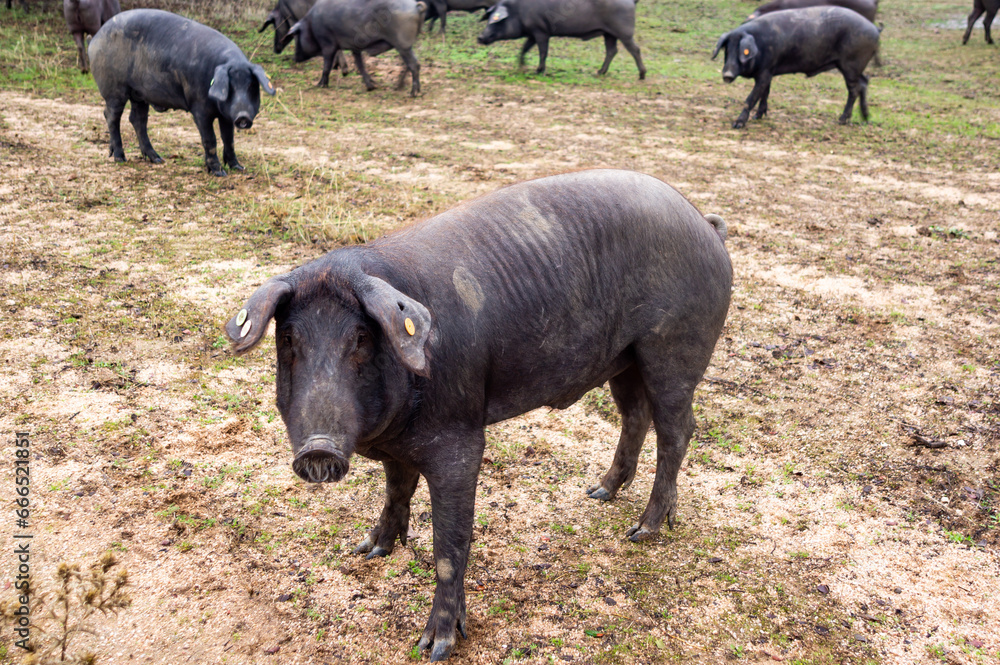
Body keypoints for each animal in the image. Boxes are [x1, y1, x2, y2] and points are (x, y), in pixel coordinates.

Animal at [88, 9, 276, 177]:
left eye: (251, 86)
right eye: (230, 87)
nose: (243, 116)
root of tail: (95, 39)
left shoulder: (226, 115)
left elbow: (229, 139)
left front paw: (239, 168)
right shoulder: (199, 108)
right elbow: (210, 139)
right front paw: (219, 173)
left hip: (139, 94)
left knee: (137, 119)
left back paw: (157, 159)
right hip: (114, 88)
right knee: (111, 116)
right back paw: (120, 158)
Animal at [225, 169, 732, 661]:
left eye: (360, 339)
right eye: (289, 340)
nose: (318, 449)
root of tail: (706, 226)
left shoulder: (460, 438)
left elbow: (449, 545)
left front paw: (435, 647)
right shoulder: (399, 445)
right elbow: (396, 490)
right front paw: (369, 551)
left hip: (675, 347)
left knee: (678, 429)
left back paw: (642, 530)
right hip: (624, 359)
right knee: (635, 416)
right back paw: (599, 493)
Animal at [285, 0, 426, 95]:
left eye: (297, 36)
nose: (294, 58)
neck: (311, 25)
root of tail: (416, 6)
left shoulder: (327, 44)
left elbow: (326, 66)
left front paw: (319, 85)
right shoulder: (355, 47)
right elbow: (360, 64)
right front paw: (371, 86)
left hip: (402, 44)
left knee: (413, 64)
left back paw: (413, 93)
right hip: (405, 45)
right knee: (411, 64)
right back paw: (399, 87)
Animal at [477, 0, 646, 79]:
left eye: (497, 21)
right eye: (488, 19)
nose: (480, 37)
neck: (517, 11)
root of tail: (631, 2)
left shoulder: (541, 31)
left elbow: (543, 51)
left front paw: (538, 71)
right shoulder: (532, 32)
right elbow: (524, 48)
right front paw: (521, 67)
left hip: (624, 32)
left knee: (635, 49)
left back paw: (642, 76)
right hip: (608, 34)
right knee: (612, 51)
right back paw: (599, 72)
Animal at [712, 6, 880, 128]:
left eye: (742, 51)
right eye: (727, 50)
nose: (727, 75)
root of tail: (875, 29)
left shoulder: (764, 72)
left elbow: (751, 98)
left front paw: (737, 124)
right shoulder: (769, 71)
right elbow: (765, 93)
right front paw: (758, 117)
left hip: (851, 64)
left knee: (854, 90)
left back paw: (841, 120)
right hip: (855, 67)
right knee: (864, 82)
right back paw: (865, 117)